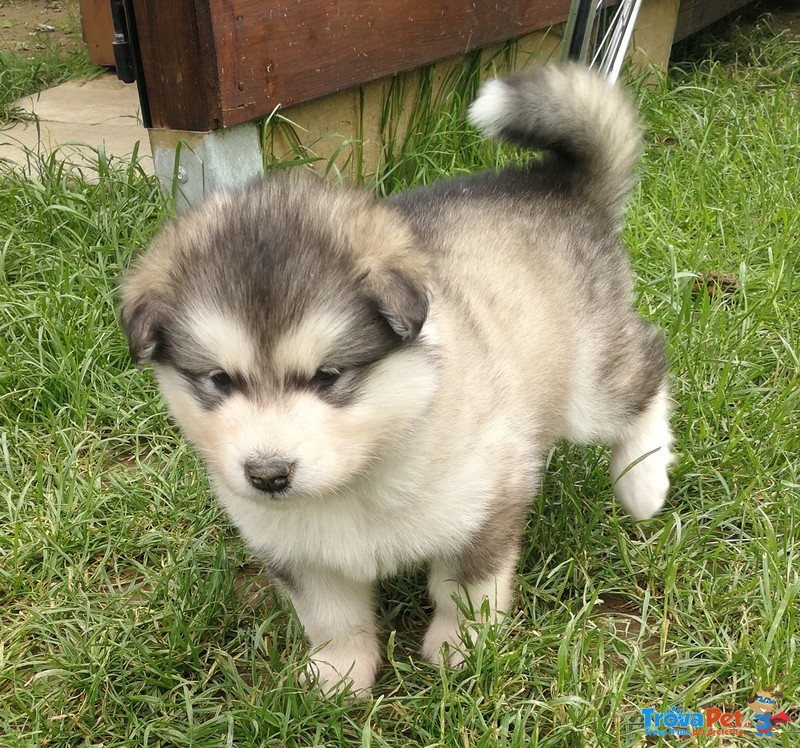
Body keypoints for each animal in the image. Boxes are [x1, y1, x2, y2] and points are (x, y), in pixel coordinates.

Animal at [120, 62, 676, 696]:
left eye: (329, 375)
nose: (267, 475)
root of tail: (558, 185)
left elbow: (465, 589)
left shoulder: (484, 503)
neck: (358, 478)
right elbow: (332, 615)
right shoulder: (298, 551)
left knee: (649, 369)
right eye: (218, 379)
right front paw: (339, 673)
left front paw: (461, 649)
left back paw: (642, 481)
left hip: (589, 384)